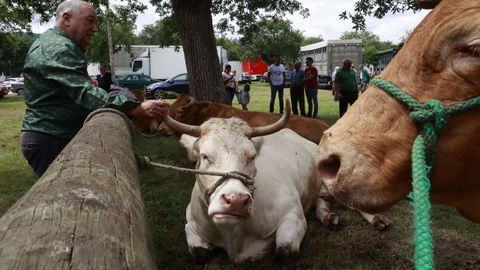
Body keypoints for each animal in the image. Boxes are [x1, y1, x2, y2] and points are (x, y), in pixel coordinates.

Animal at [165, 106, 338, 264]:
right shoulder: (191, 225)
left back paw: (329, 217)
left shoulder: (294, 215)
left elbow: (284, 253)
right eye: (204, 156)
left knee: (322, 199)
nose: (235, 200)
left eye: (252, 156)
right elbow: (199, 255)